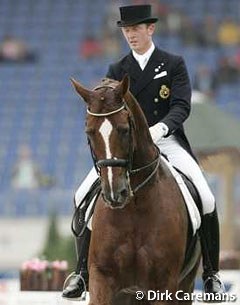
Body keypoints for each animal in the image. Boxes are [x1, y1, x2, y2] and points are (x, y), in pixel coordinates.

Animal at [71, 75, 201, 304]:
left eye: (124, 129)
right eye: (89, 132)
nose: (115, 194)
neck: (135, 207)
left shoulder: (164, 284)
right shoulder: (102, 278)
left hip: (183, 287)